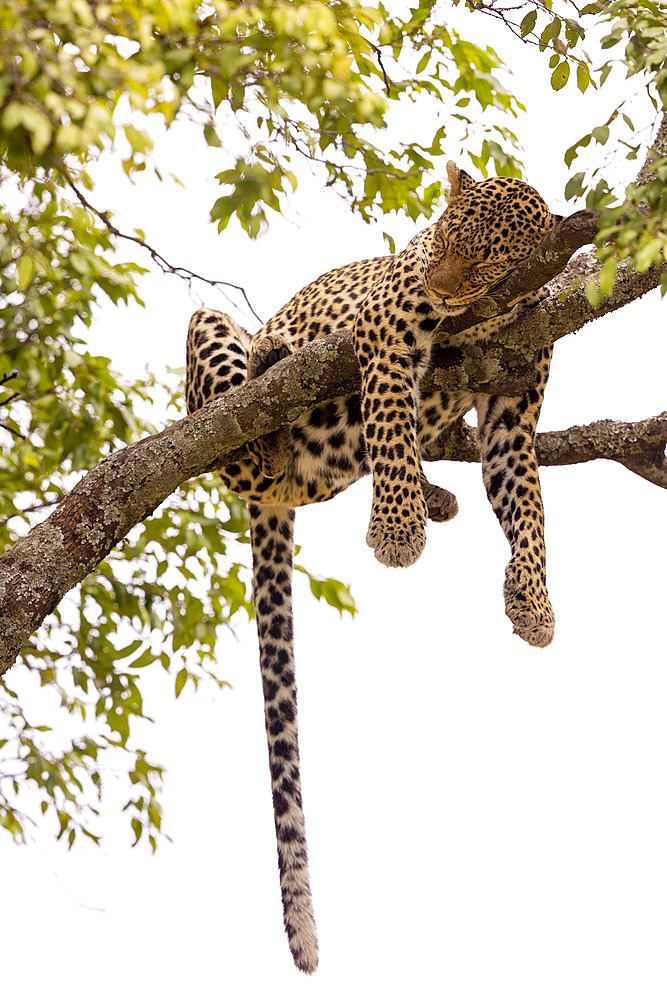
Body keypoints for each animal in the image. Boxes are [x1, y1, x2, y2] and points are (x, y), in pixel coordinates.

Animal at [187, 160, 564, 972]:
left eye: (486, 258)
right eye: (442, 237)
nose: (439, 282)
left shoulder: (513, 410)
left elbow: (528, 509)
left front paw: (532, 603)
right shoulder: (387, 326)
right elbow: (390, 415)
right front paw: (396, 531)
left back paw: (437, 495)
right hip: (214, 348)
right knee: (241, 430)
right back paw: (271, 367)